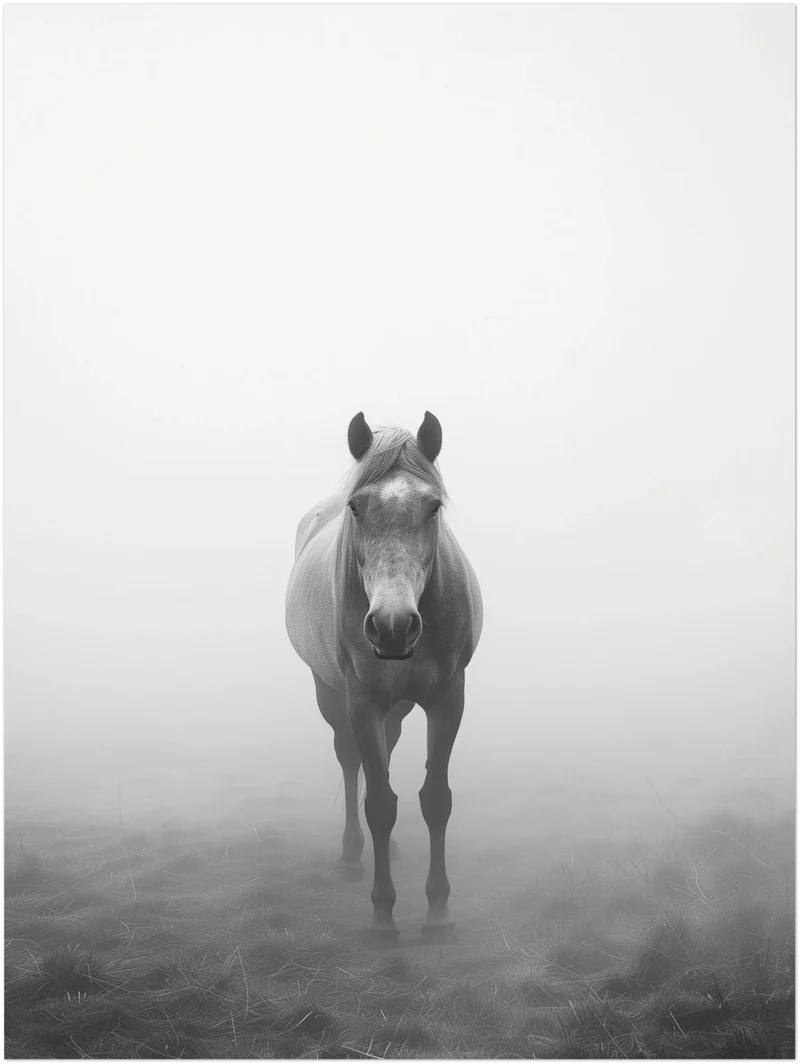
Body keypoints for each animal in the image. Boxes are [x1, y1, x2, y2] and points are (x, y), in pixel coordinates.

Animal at [285, 411, 483, 940]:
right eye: (356, 507)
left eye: (434, 507)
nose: (393, 627)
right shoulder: (362, 701)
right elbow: (377, 804)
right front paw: (381, 914)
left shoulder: (447, 698)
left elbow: (435, 799)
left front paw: (438, 910)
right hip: (330, 694)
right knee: (351, 762)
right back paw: (351, 856)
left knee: (387, 752)